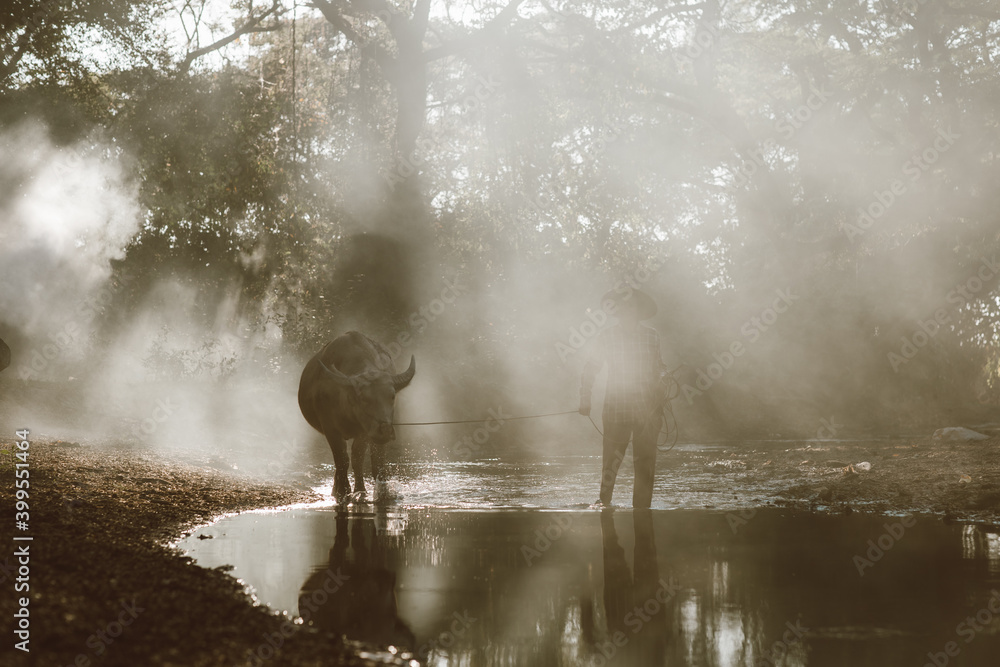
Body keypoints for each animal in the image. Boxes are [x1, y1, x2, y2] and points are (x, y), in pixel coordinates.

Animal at [300, 334, 418, 500]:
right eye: (363, 398)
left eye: (392, 396)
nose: (385, 430)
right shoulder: (330, 429)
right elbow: (342, 460)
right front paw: (343, 491)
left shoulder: (365, 431)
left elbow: (358, 457)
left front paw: (360, 489)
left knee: (376, 459)